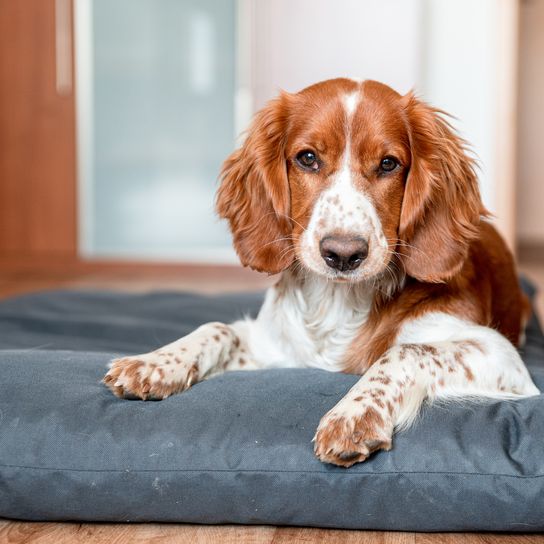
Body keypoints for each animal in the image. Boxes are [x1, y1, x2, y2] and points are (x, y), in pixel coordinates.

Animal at [103, 77, 540, 468]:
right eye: (308, 158)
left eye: (388, 164)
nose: (343, 254)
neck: (337, 302)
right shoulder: (276, 350)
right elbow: (218, 327)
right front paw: (155, 363)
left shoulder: (500, 356)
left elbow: (404, 350)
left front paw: (354, 414)